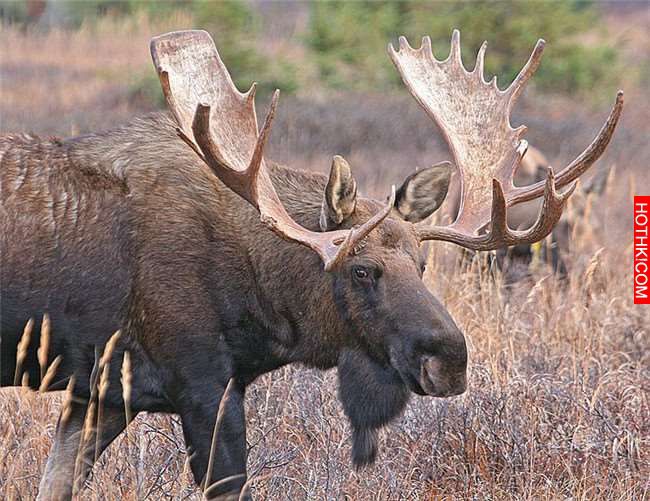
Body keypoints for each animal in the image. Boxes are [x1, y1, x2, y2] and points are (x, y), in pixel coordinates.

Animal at [0, 30, 622, 500]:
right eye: (361, 270)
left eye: (422, 264)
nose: (450, 359)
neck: (261, 305)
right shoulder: (201, 384)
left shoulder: (100, 392)